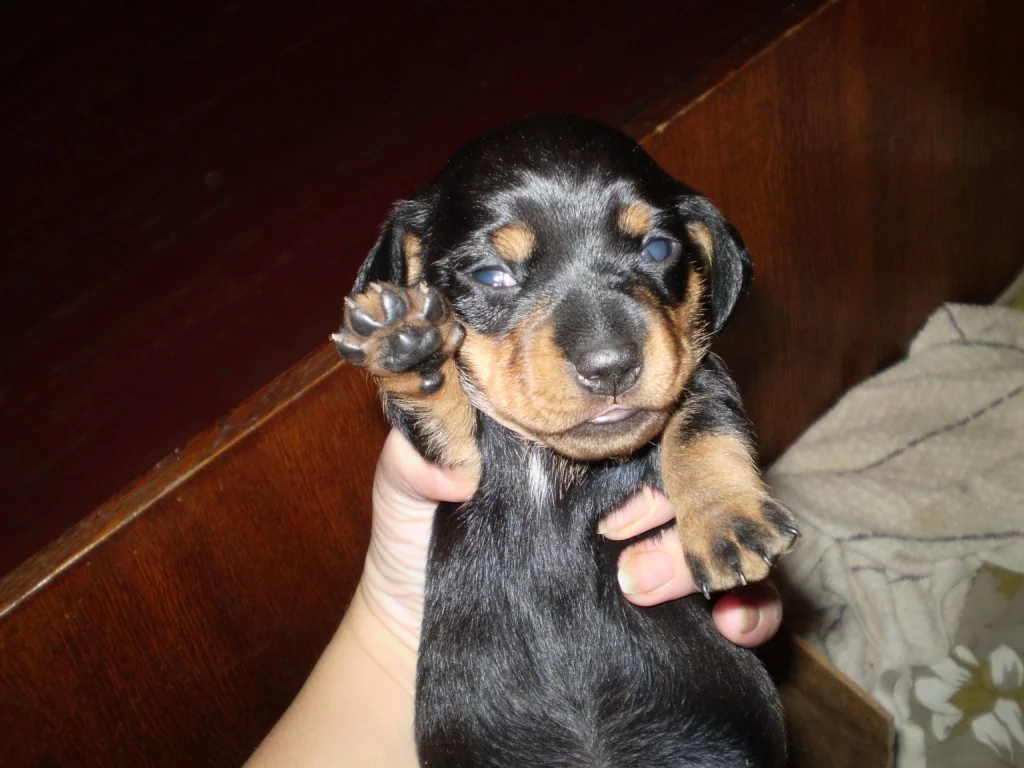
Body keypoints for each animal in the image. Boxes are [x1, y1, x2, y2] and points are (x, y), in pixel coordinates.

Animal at [333, 115, 799, 767]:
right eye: (491, 275)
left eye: (658, 249)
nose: (611, 366)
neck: (558, 463)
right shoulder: (455, 468)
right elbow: (443, 411)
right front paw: (408, 345)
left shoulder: (697, 373)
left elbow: (699, 419)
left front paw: (726, 520)